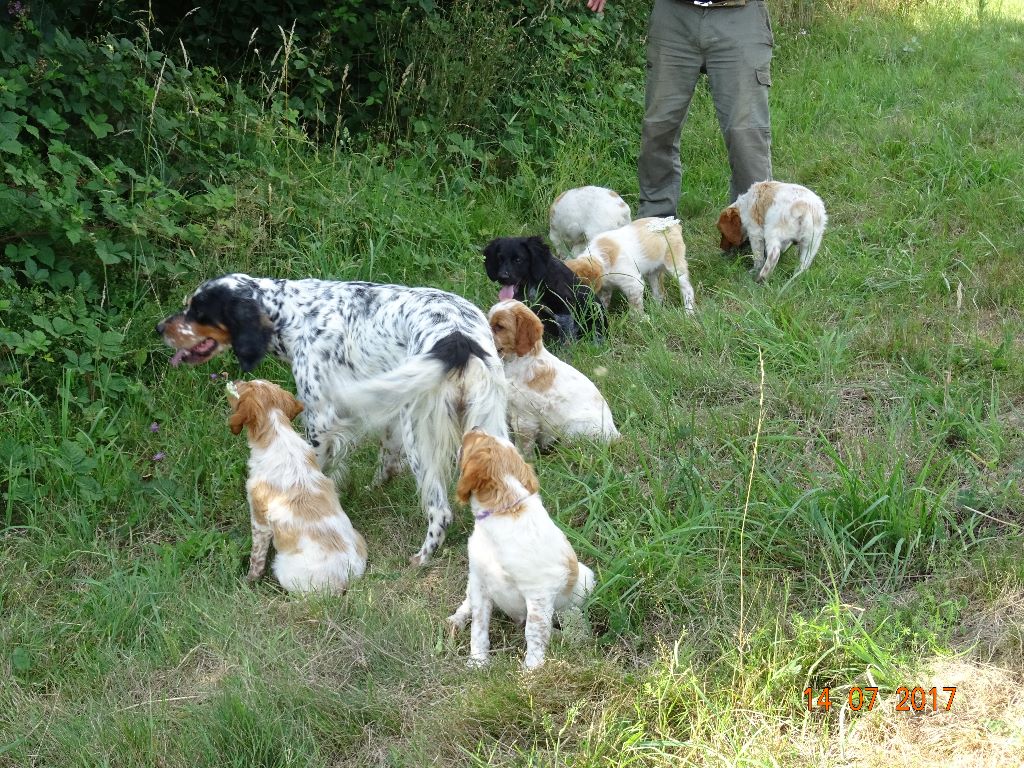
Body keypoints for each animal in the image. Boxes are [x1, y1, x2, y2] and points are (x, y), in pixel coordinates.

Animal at [157, 276, 509, 565]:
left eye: (197, 311)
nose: (159, 328)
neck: (295, 316)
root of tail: (459, 340)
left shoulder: (320, 420)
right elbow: (385, 461)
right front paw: (374, 487)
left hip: (421, 439)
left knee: (440, 511)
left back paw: (422, 557)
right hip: (486, 427)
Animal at [228, 378, 368, 593]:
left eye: (244, 386)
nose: (235, 380)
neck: (278, 434)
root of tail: (345, 580)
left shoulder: (259, 520)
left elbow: (256, 557)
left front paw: (249, 581)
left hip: (282, 567)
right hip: (358, 538)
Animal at [444, 430, 598, 671]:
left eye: (473, 441)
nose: (473, 427)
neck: (502, 513)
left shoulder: (538, 592)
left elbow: (534, 631)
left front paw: (532, 670)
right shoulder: (480, 582)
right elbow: (478, 627)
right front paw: (478, 662)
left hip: (584, 579)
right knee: (466, 603)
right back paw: (456, 620)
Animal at [489, 299, 622, 456]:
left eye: (499, 327)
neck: (517, 361)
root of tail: (615, 435)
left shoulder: (524, 419)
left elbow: (523, 447)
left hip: (573, 429)